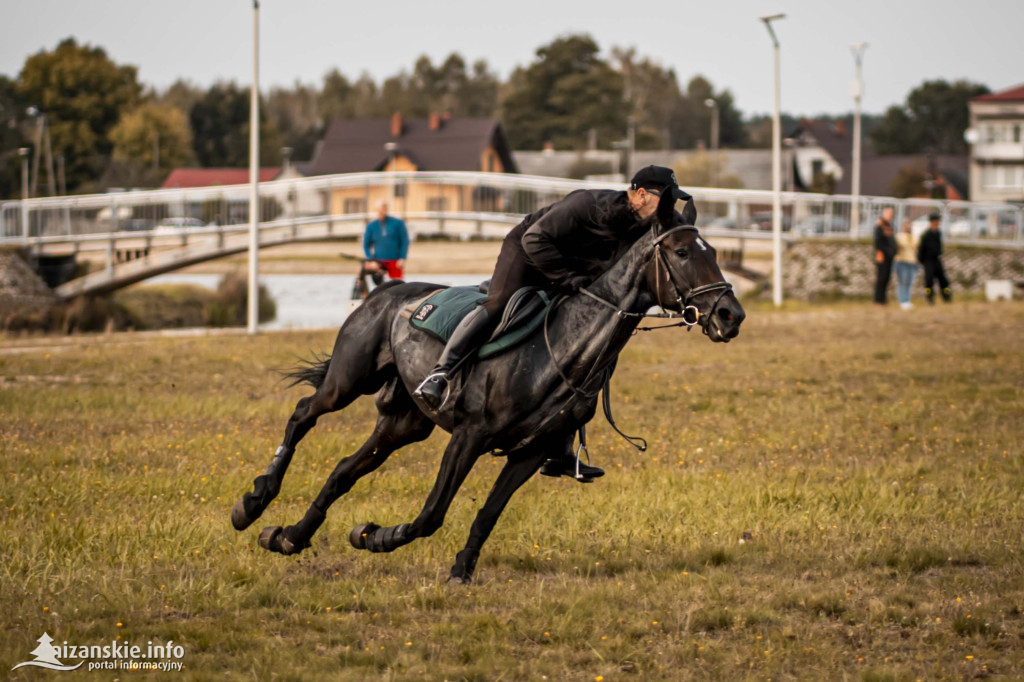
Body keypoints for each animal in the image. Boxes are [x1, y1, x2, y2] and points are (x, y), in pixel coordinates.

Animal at [232, 188, 745, 581]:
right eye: (682, 253)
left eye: (717, 253)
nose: (730, 315)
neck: (558, 347)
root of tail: (385, 290)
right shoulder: (468, 436)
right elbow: (432, 513)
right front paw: (377, 536)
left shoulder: (530, 452)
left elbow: (487, 515)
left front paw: (461, 569)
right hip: (347, 381)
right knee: (303, 414)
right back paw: (254, 501)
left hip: (405, 422)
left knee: (342, 470)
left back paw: (287, 537)